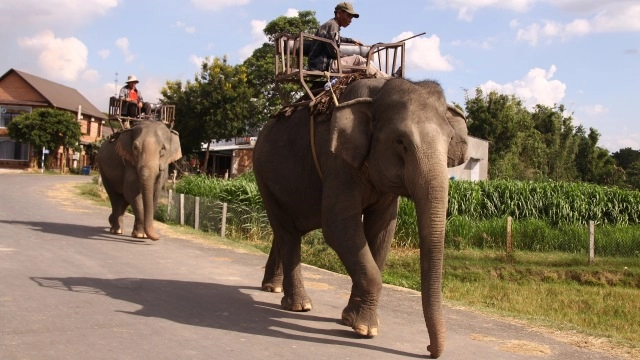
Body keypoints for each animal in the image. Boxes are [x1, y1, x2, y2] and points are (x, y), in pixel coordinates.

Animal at [252, 78, 468, 358]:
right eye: (401, 142)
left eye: (450, 139)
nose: (429, 348)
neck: (378, 91)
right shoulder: (337, 160)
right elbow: (338, 225)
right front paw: (365, 329)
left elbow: (383, 230)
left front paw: (351, 321)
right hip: (263, 177)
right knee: (287, 232)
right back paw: (299, 305)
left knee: (286, 232)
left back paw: (272, 288)